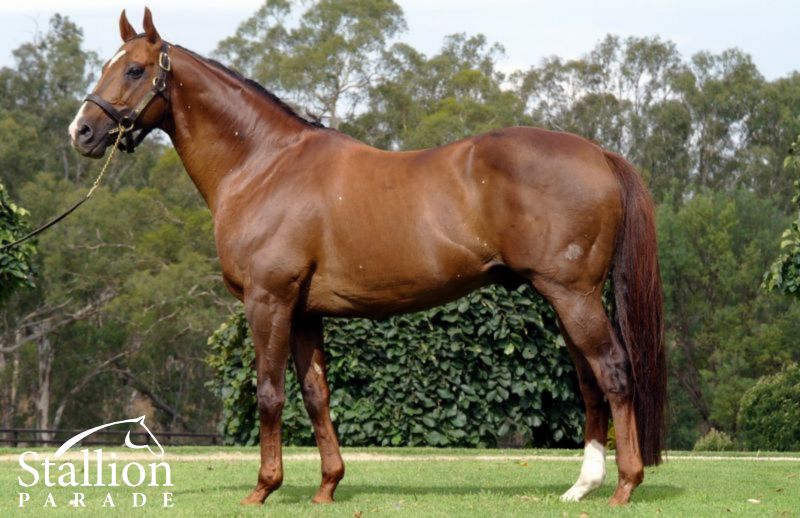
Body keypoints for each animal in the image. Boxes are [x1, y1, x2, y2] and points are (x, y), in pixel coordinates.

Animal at [69, 8, 666, 506]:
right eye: (108, 65)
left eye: (135, 70)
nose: (82, 131)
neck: (264, 165)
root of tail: (599, 153)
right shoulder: (304, 312)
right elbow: (316, 395)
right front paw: (327, 487)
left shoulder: (269, 302)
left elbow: (269, 393)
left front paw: (263, 489)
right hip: (563, 297)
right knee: (589, 380)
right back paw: (582, 486)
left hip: (572, 295)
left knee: (614, 372)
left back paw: (625, 486)